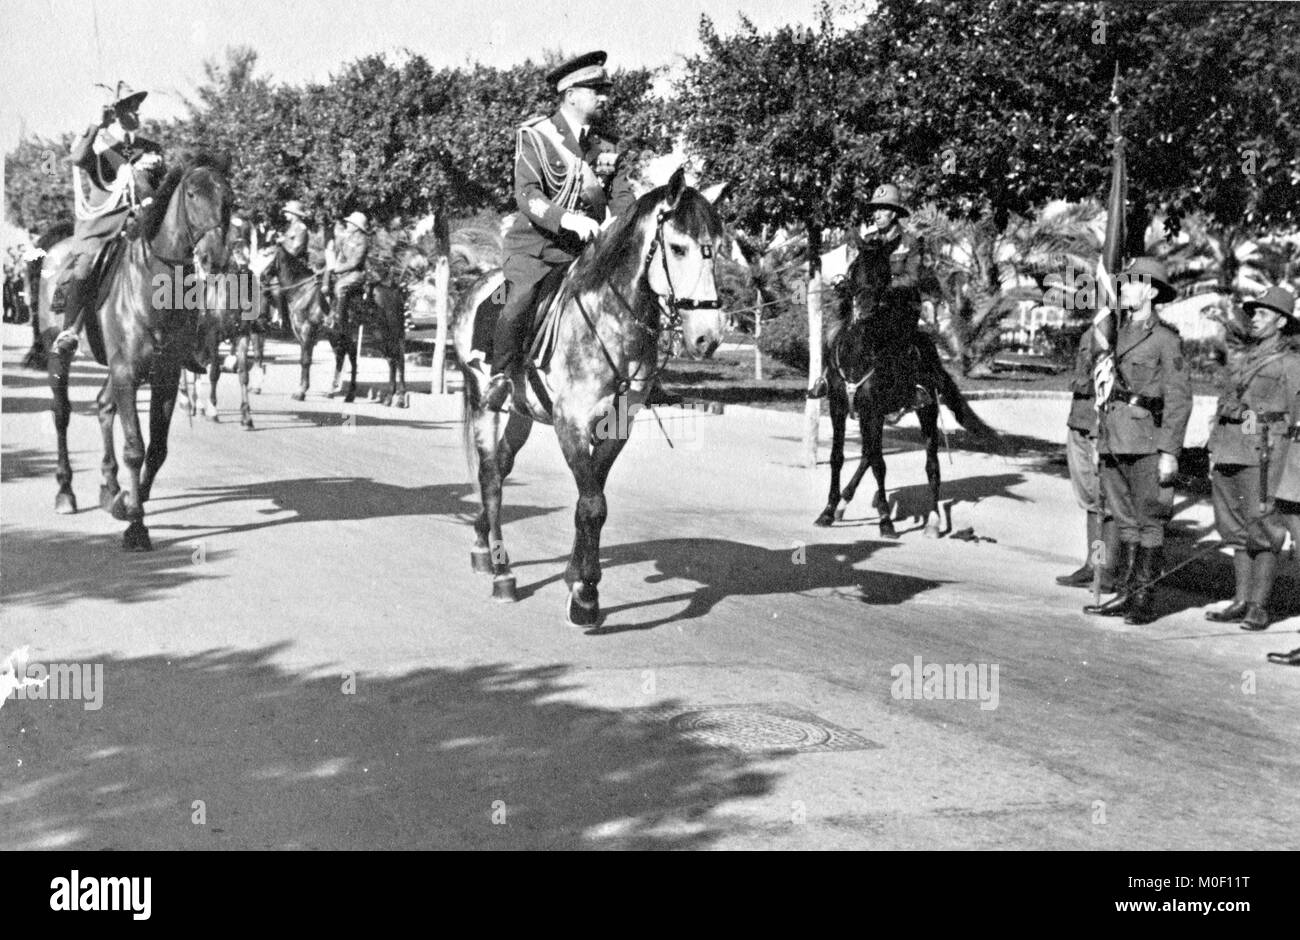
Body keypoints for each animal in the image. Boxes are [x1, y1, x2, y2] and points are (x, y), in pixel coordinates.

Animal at [33, 154, 233, 551]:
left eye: (228, 197)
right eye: (192, 193)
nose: (214, 256)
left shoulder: (164, 376)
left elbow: (156, 449)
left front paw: (126, 503)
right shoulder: (127, 372)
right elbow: (135, 448)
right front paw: (137, 527)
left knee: (102, 405)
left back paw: (110, 488)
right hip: (59, 356)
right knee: (62, 412)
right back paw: (66, 491)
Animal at [452, 169, 728, 629]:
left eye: (718, 249)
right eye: (677, 247)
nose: (707, 337)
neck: (611, 323)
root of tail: (477, 284)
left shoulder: (616, 427)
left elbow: (590, 499)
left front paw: (576, 575)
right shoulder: (572, 424)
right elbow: (593, 504)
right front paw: (586, 596)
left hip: (523, 411)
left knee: (503, 465)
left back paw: (481, 543)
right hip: (483, 398)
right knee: (490, 474)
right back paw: (502, 571)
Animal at [811, 236, 993, 535]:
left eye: (885, 274)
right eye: (854, 268)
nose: (865, 308)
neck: (859, 353)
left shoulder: (873, 411)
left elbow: (879, 463)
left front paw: (885, 520)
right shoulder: (840, 407)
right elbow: (840, 457)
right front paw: (827, 511)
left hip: (926, 410)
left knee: (930, 463)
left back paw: (933, 520)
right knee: (867, 453)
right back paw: (842, 505)